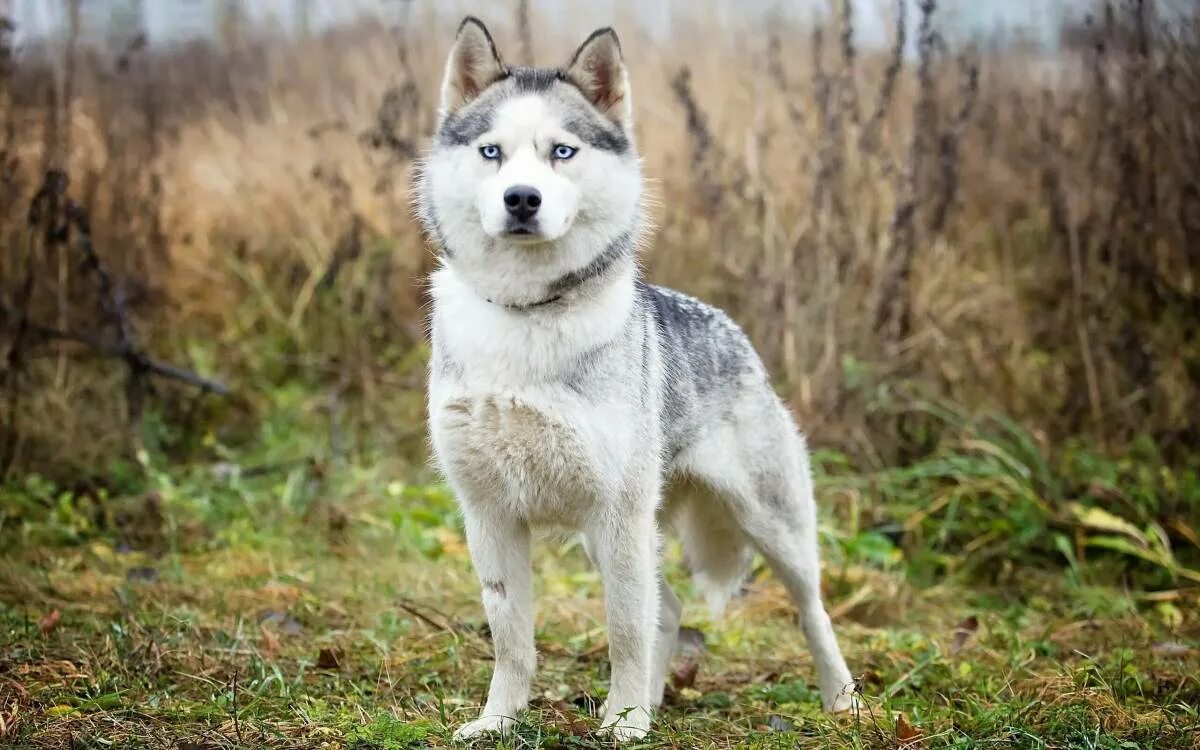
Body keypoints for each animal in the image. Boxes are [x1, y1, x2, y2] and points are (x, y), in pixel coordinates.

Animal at [417, 16, 859, 739]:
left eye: (562, 152)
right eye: (491, 153)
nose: (521, 199)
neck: (527, 313)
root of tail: (737, 334)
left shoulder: (617, 515)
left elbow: (624, 630)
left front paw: (623, 724)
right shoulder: (490, 516)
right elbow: (512, 638)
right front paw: (499, 722)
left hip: (769, 526)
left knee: (810, 611)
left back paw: (841, 700)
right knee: (670, 609)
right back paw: (647, 703)